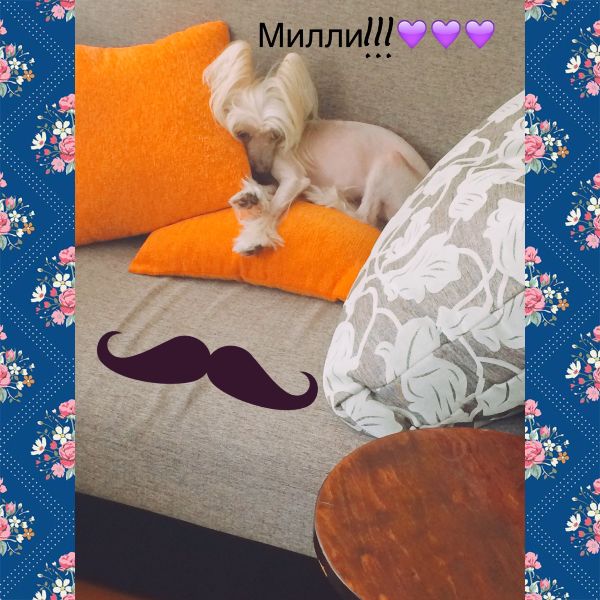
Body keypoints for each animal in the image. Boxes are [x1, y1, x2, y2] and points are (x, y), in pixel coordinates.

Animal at [203, 41, 429, 255]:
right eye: (243, 134)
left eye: (275, 135)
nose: (260, 171)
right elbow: (270, 192)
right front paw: (252, 196)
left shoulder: (295, 177)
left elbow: (274, 207)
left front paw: (254, 237)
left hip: (389, 160)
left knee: (365, 218)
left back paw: (325, 197)